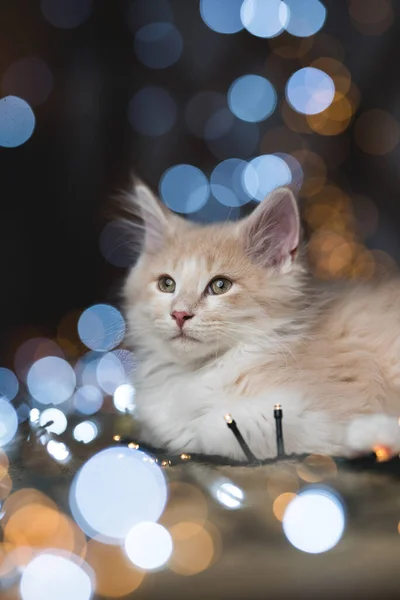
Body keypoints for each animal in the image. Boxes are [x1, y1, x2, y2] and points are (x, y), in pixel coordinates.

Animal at [121, 183, 400, 460]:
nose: (179, 314)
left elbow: (211, 429)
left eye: (220, 285)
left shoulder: (325, 408)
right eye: (167, 284)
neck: (195, 372)